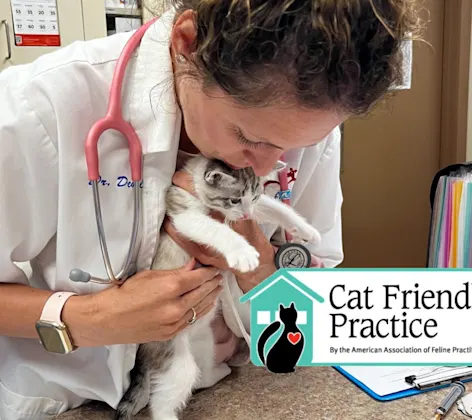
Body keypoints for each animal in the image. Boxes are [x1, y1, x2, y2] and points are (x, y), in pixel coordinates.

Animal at [115, 154, 320, 420]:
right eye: (234, 199)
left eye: (253, 197)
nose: (245, 215)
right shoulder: (185, 215)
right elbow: (216, 229)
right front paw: (243, 252)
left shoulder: (254, 207)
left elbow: (275, 207)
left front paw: (307, 229)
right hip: (174, 358)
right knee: (164, 399)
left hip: (204, 343)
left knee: (201, 375)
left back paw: (220, 371)